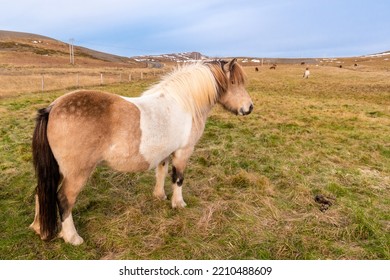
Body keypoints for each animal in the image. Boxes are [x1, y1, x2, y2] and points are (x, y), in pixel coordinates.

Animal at [29, 58, 253, 245]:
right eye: (234, 82)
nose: (249, 108)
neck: (183, 104)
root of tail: (52, 108)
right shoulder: (183, 152)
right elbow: (178, 179)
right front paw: (178, 203)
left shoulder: (165, 152)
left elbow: (161, 173)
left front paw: (160, 196)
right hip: (76, 173)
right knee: (64, 199)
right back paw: (72, 237)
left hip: (58, 170)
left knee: (42, 191)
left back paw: (39, 228)